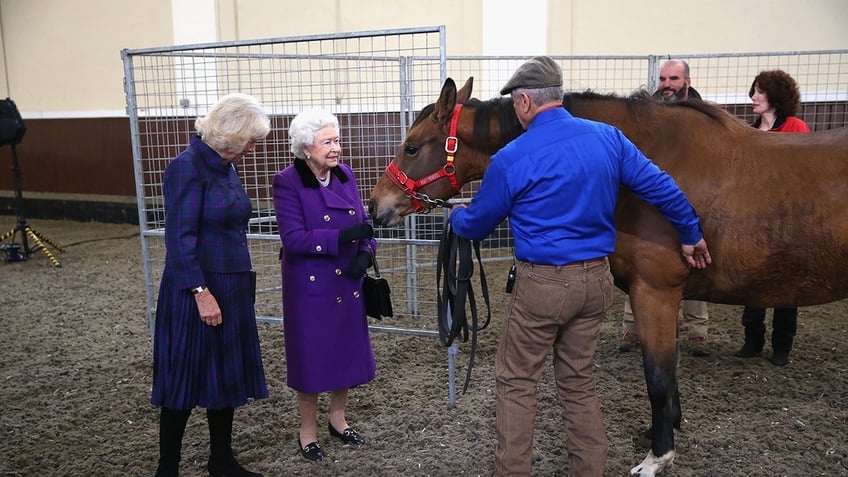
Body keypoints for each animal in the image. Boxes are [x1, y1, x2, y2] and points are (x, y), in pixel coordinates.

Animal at [368, 76, 848, 474]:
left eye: (413, 147)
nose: (375, 205)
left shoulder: (655, 292)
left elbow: (658, 377)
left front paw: (657, 457)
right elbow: (668, 375)